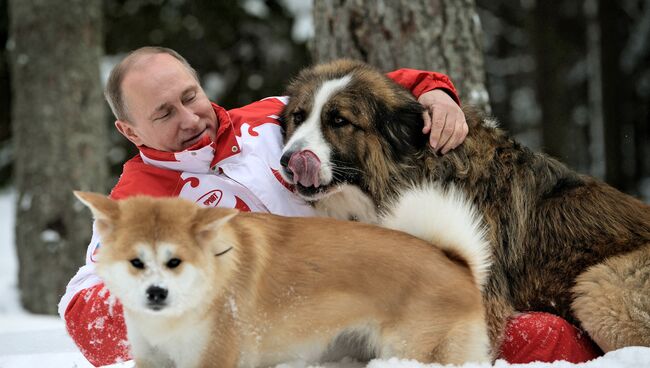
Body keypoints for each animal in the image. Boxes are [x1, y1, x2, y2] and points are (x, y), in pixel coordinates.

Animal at [73, 191, 488, 366]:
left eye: (175, 262)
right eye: (136, 262)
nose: (156, 294)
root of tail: (458, 264)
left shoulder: (212, 358)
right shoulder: (153, 360)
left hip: (413, 350)